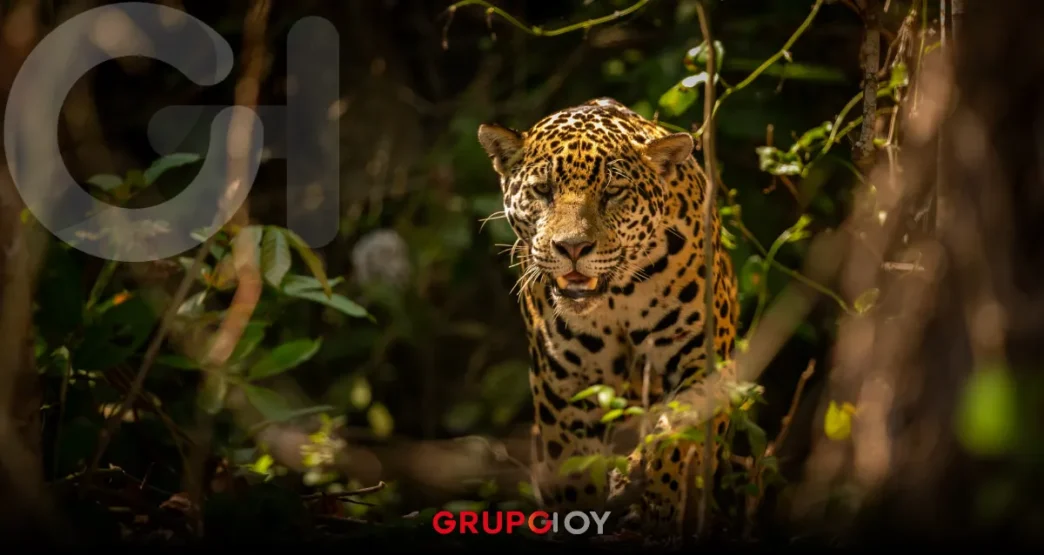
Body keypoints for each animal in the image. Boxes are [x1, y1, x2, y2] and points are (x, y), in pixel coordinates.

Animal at [477, 98, 740, 540]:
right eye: (543, 191)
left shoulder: (702, 359)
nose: (572, 247)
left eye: (613, 193)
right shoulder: (565, 387)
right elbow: (573, 470)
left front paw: (657, 503)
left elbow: (675, 433)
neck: (619, 296)